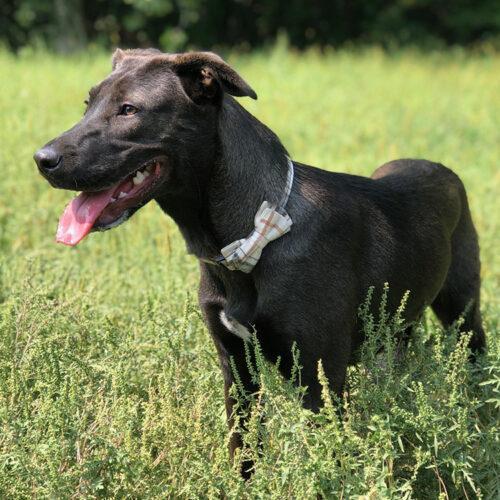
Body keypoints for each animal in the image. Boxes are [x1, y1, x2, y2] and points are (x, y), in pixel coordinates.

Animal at [34, 48, 484, 470]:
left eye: (129, 110)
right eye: (87, 103)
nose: (42, 160)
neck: (257, 235)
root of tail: (441, 168)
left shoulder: (320, 379)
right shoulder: (236, 367)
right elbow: (244, 448)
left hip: (463, 311)